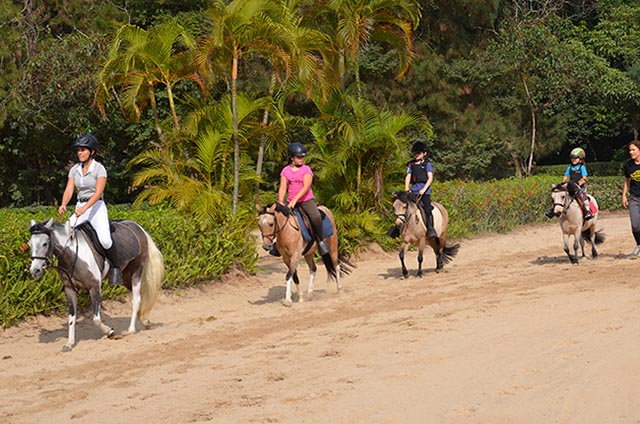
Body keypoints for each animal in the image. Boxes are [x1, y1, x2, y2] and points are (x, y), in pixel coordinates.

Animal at [28, 219, 164, 352]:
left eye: (45, 243)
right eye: (30, 244)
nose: (34, 271)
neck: (73, 254)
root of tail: (137, 227)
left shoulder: (94, 287)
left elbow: (96, 319)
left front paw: (110, 332)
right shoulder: (69, 289)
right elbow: (71, 318)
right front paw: (69, 343)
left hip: (137, 271)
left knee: (136, 299)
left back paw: (131, 330)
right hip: (126, 277)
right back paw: (145, 321)